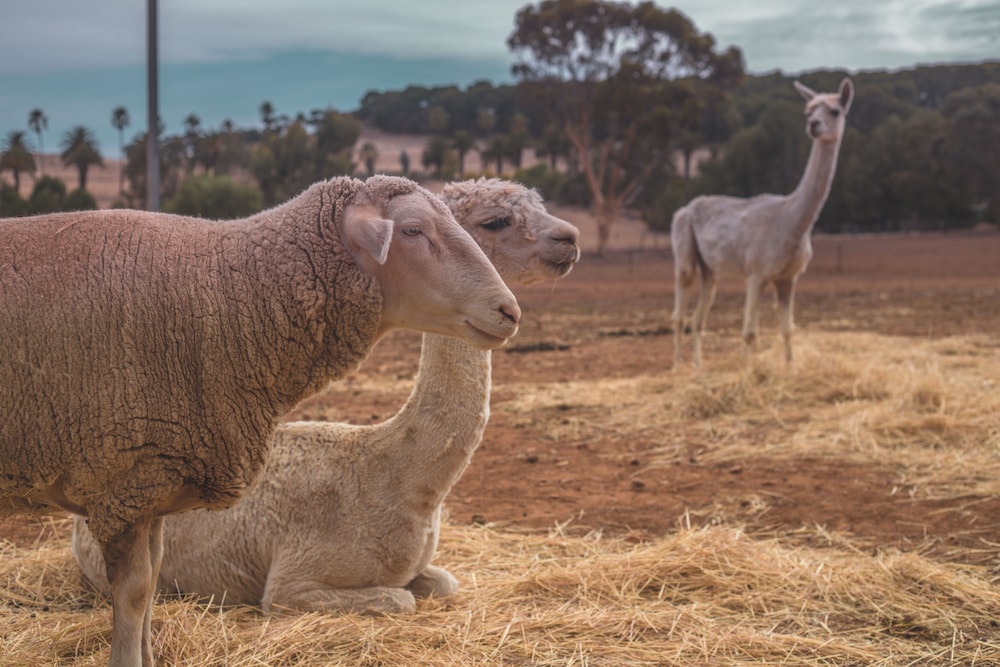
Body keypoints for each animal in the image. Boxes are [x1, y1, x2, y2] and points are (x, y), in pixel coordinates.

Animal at [3, 176, 524, 667]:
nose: (510, 311)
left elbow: (148, 587)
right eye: (413, 230)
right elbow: (133, 595)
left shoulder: (149, 485)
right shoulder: (125, 481)